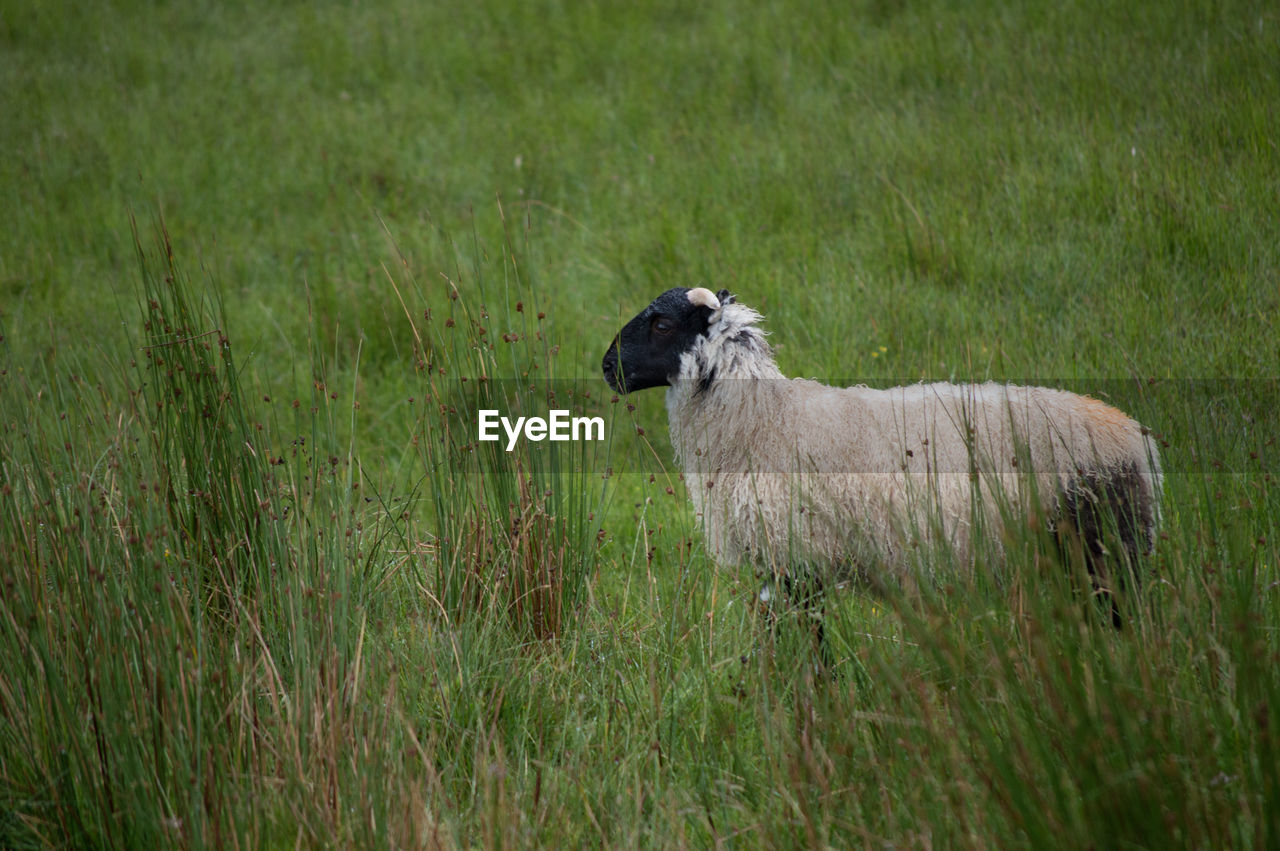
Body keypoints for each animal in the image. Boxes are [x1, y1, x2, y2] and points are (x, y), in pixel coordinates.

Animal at [599, 285, 1162, 637]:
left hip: (1102, 551)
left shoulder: (795, 559)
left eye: (662, 323)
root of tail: (1138, 443)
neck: (765, 421)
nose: (606, 367)